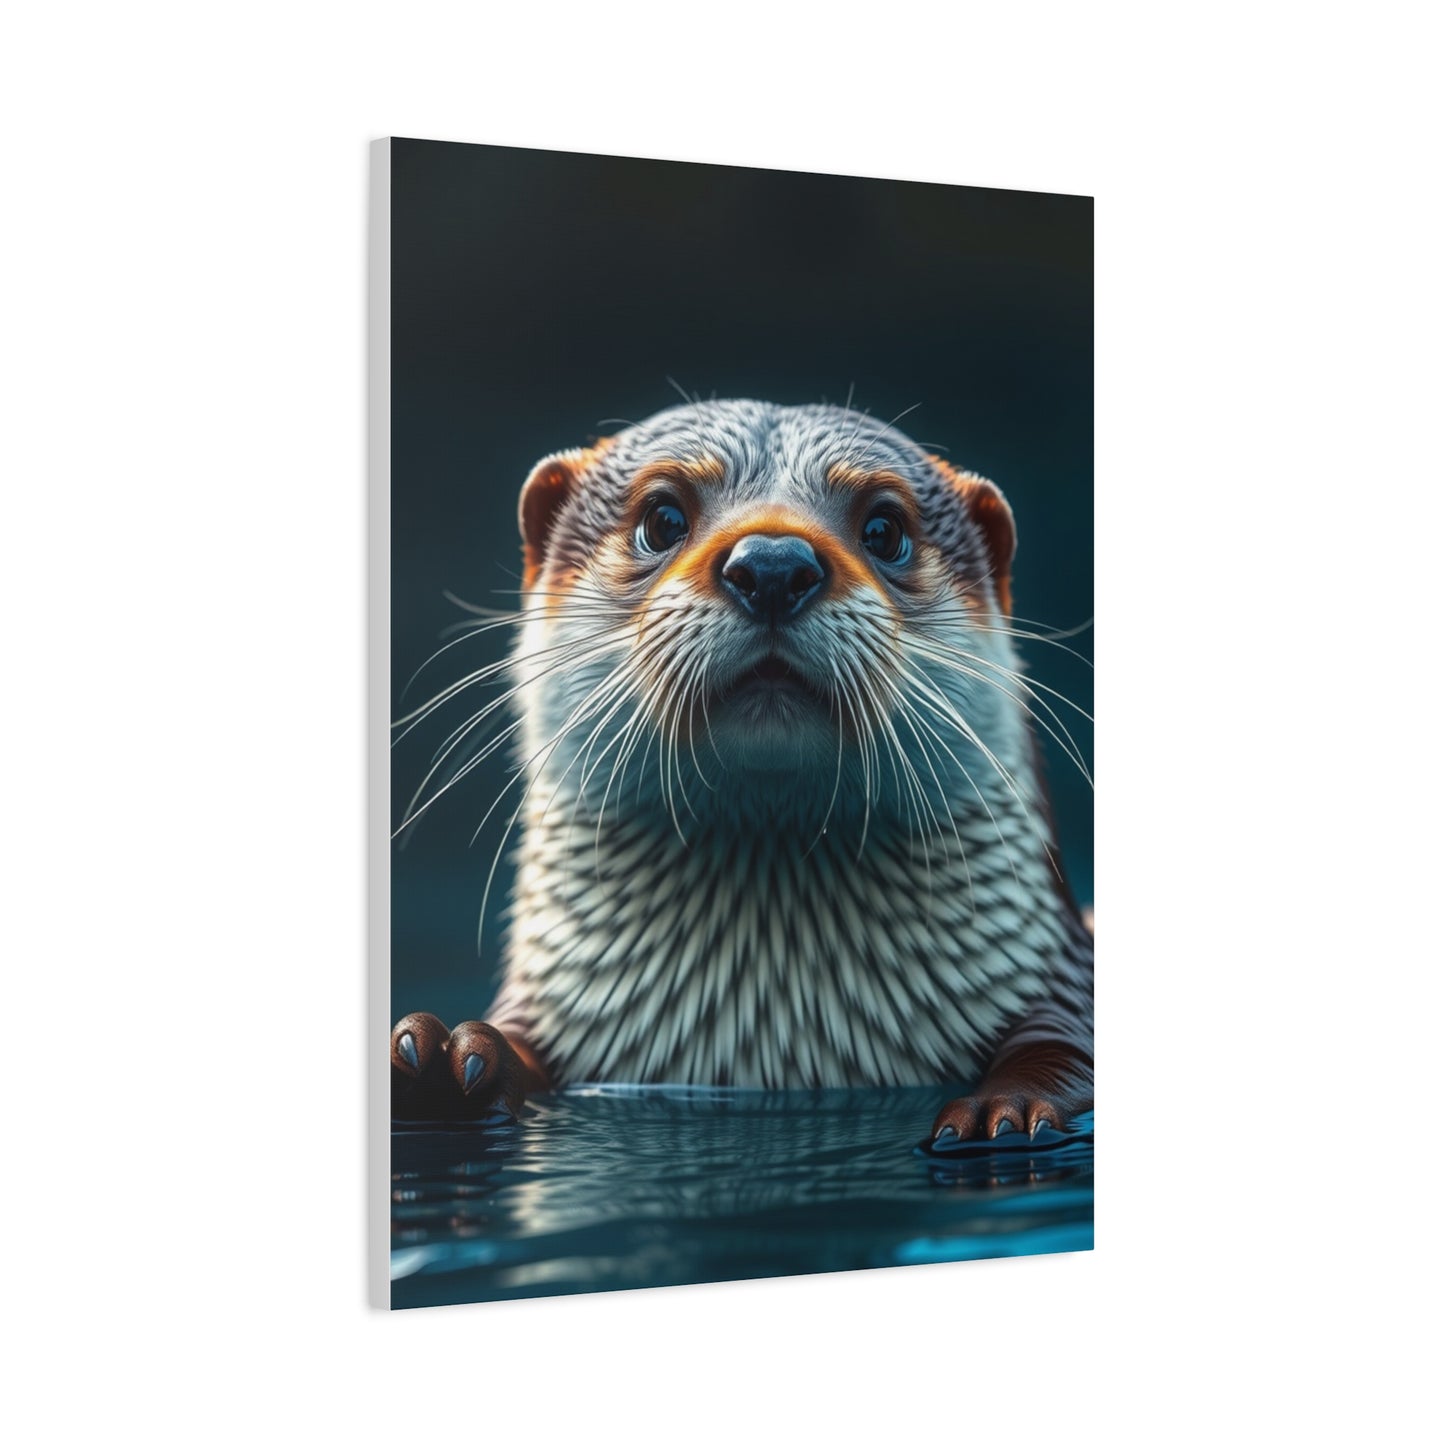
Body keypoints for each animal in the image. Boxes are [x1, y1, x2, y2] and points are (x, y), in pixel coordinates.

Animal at [390, 400, 1092, 1146]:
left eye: (884, 529)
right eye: (662, 518)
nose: (774, 564)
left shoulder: (1059, 982)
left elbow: (1060, 1050)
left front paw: (1007, 1109)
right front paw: (442, 1059)